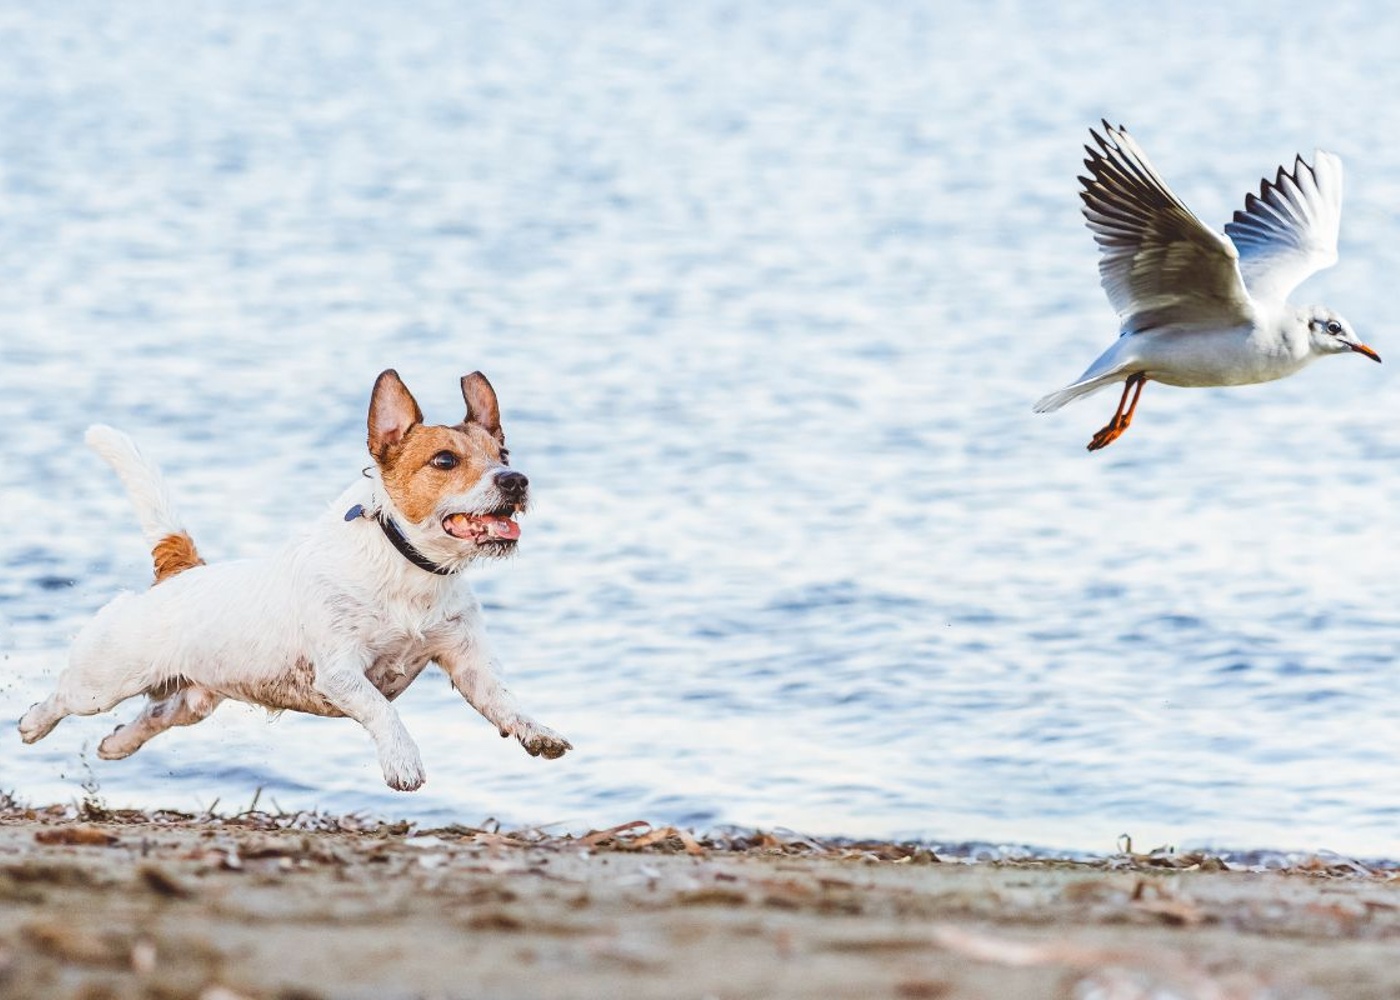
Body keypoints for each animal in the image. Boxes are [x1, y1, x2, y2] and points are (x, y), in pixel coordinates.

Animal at [13, 366, 571, 784]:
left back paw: (115, 745)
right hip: (100, 683)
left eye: (503, 455)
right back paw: (32, 724)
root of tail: (178, 573)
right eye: (445, 460)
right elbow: (382, 710)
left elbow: (502, 700)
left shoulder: (468, 663)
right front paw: (403, 761)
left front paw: (535, 730)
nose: (516, 480)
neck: (409, 567)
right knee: (62, 697)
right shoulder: (341, 672)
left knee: (154, 716)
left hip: (194, 699)